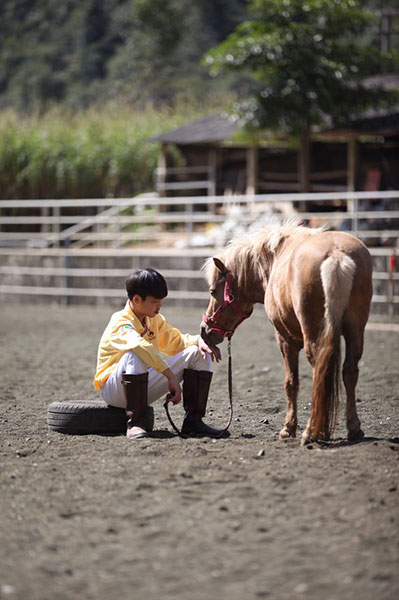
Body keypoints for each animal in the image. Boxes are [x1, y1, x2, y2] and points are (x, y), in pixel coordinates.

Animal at [202, 221, 374, 446]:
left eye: (213, 291)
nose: (205, 331)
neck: (274, 259)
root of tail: (337, 255)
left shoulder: (284, 339)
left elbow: (291, 383)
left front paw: (288, 428)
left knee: (319, 371)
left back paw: (311, 432)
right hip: (356, 331)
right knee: (349, 371)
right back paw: (353, 428)